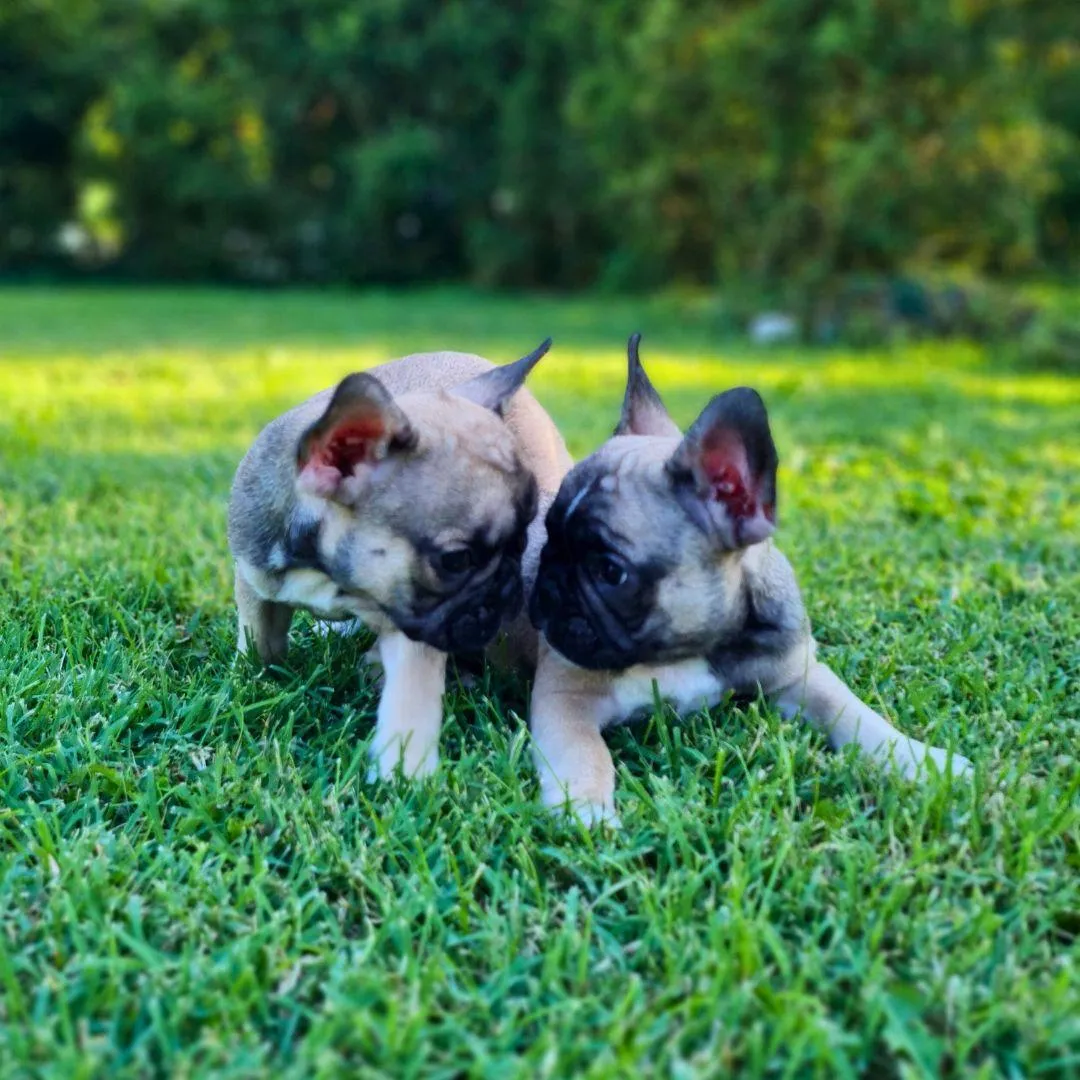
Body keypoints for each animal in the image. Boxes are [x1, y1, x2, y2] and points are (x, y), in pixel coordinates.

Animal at [228, 336, 574, 777]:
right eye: (456, 560)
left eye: (521, 541)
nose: (507, 588)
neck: (331, 572)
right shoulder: (253, 577)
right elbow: (260, 639)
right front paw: (256, 681)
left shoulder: (417, 628)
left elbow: (411, 696)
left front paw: (404, 773)